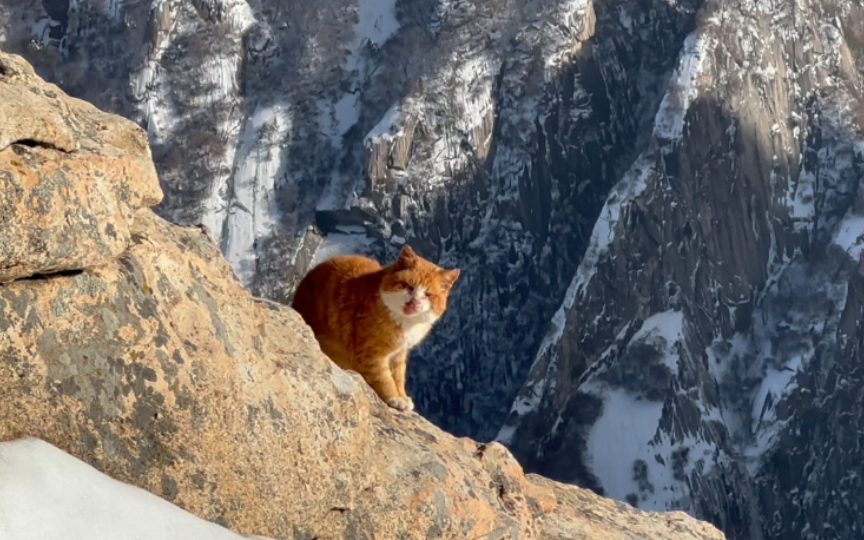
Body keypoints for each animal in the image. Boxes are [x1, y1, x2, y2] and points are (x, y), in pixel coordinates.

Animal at [292, 245, 460, 410]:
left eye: (428, 295)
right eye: (408, 286)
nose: (414, 303)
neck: (405, 323)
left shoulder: (399, 353)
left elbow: (398, 376)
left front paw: (402, 396)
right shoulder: (371, 352)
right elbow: (384, 376)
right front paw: (394, 398)